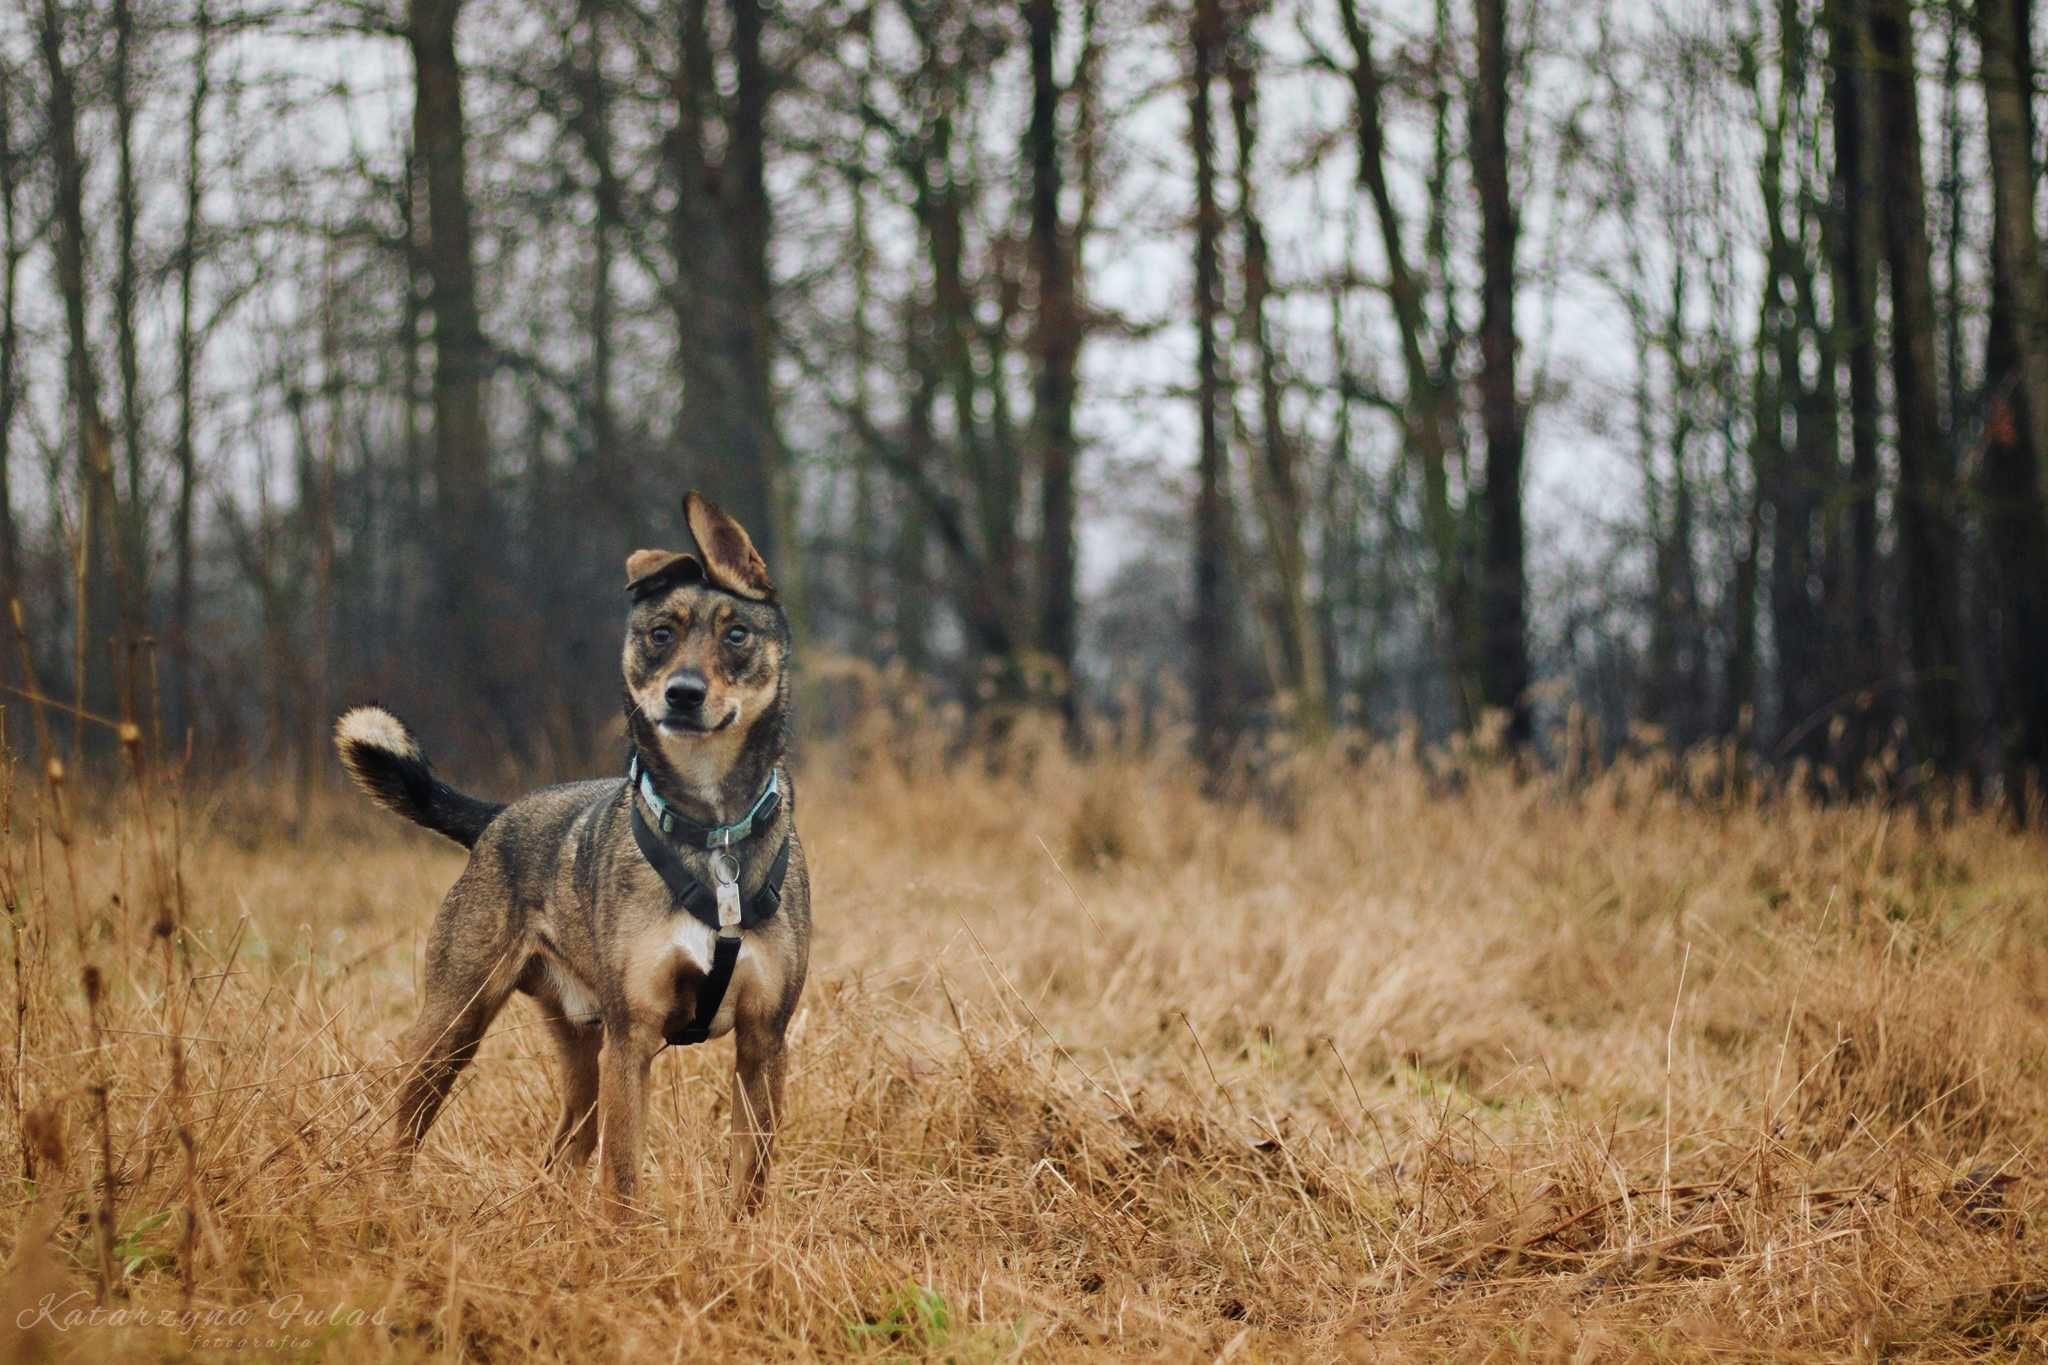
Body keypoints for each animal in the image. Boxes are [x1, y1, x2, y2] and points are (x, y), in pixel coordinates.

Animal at [333, 493, 806, 1219]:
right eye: (660, 634)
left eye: (736, 636)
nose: (683, 693)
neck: (713, 833)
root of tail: (498, 816)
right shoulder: (631, 1038)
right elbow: (622, 1176)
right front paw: (624, 1241)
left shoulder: (763, 1040)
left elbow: (748, 1179)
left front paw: (742, 1238)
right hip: (455, 1025)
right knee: (408, 1124)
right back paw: (392, 1202)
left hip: (579, 1051)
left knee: (559, 1155)